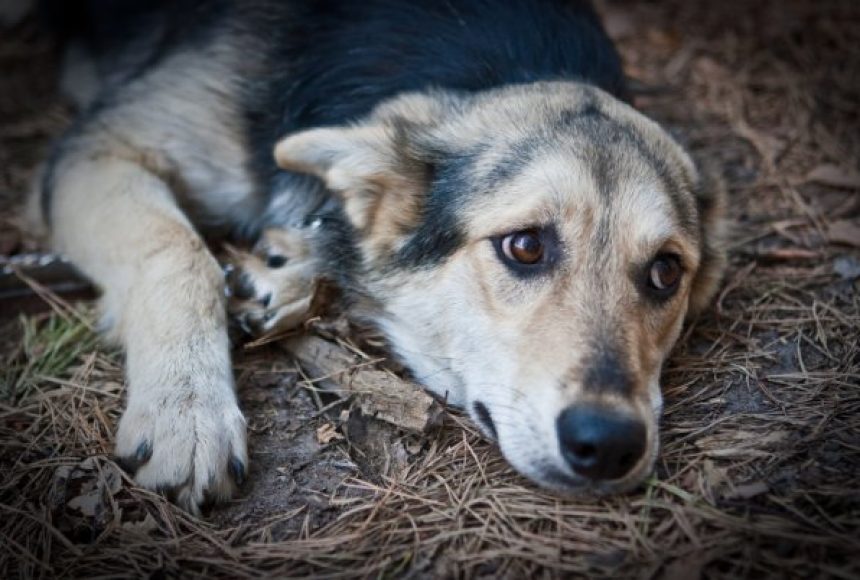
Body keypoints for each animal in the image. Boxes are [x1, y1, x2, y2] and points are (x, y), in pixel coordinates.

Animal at [30, 1, 724, 516]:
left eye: (665, 272)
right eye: (525, 246)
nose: (609, 446)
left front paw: (292, 270)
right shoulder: (98, 148)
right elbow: (180, 253)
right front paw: (187, 411)